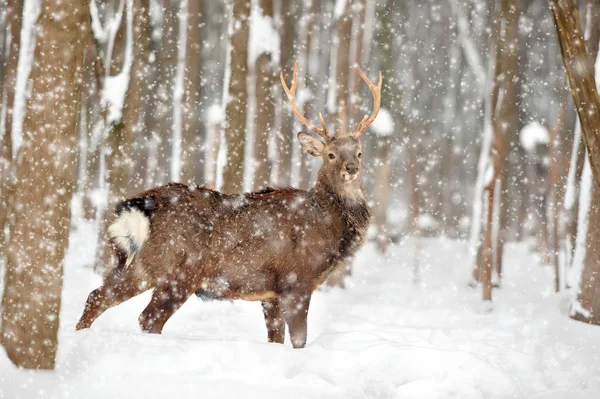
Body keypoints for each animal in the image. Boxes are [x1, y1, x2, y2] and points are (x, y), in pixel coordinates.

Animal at [77, 61, 382, 348]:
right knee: (148, 317)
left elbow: (276, 338)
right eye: (330, 154)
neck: (329, 227)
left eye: (359, 152)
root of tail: (143, 206)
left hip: (141, 264)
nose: (351, 168)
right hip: (181, 270)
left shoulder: (271, 293)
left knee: (97, 296)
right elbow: (299, 340)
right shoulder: (297, 281)